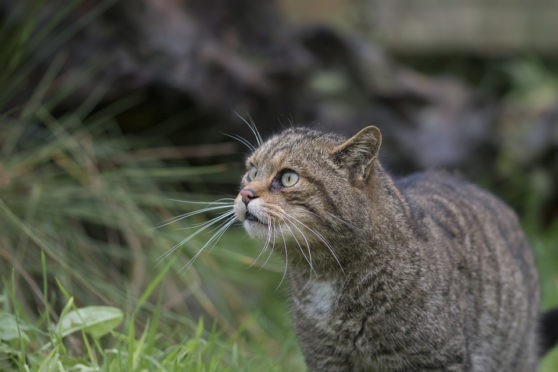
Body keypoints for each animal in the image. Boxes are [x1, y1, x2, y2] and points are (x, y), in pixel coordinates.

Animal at [233, 125, 558, 372]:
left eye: (288, 177)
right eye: (252, 171)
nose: (245, 194)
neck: (324, 275)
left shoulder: (438, 360)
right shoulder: (326, 359)